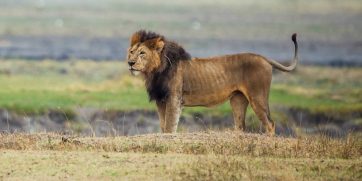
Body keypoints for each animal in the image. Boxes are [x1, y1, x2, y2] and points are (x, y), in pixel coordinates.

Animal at [126, 30, 298, 134]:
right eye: (131, 52)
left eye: (142, 53)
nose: (130, 62)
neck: (155, 71)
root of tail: (263, 58)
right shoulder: (161, 100)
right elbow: (163, 126)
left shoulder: (174, 99)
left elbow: (169, 126)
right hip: (238, 99)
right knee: (240, 126)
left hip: (258, 97)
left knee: (270, 123)